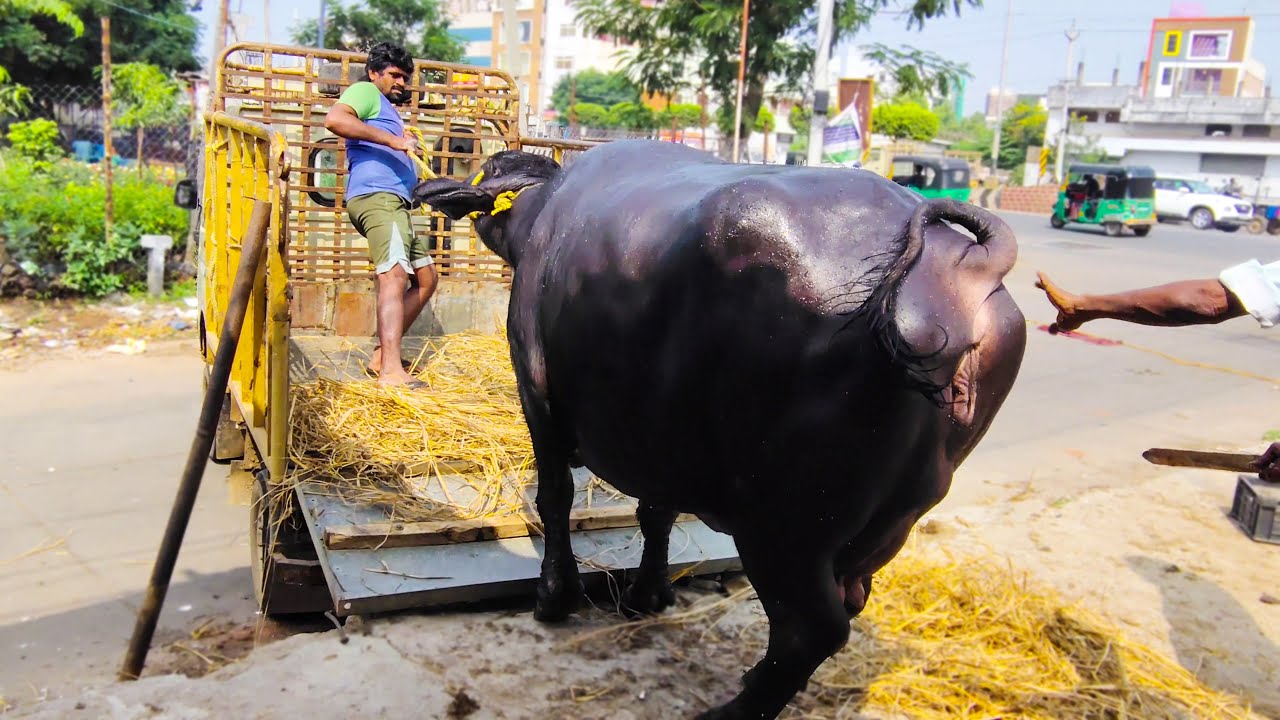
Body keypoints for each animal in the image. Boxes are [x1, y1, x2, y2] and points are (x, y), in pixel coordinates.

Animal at [414, 140, 1026, 719]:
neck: (547, 213)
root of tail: (959, 266)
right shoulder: (658, 432)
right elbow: (655, 513)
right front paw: (647, 593)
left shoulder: (537, 394)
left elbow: (555, 498)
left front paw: (553, 596)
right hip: (891, 518)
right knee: (850, 598)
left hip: (787, 525)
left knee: (813, 628)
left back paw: (733, 708)